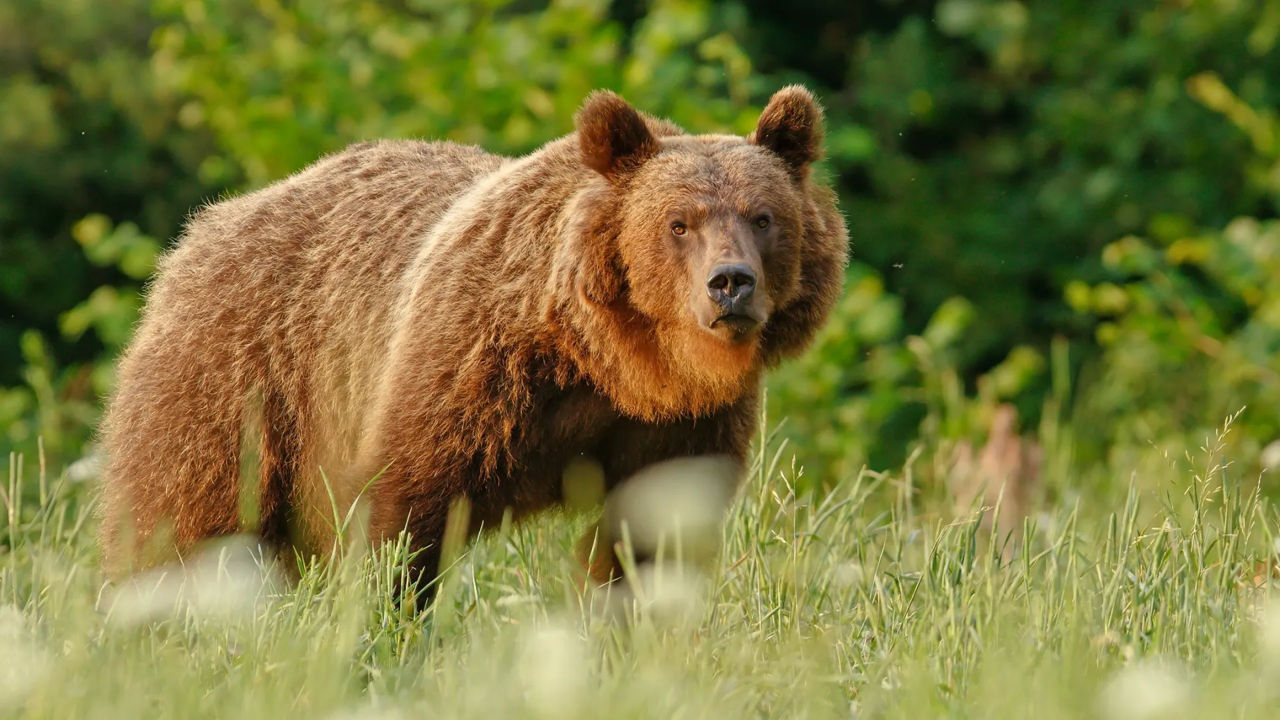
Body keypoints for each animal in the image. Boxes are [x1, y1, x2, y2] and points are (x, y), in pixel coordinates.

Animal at [102, 85, 849, 589]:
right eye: (679, 223)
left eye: (763, 216)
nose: (730, 284)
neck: (611, 362)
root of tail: (209, 224)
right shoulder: (472, 368)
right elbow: (404, 511)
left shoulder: (685, 424)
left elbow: (653, 536)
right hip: (241, 377)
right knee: (186, 515)